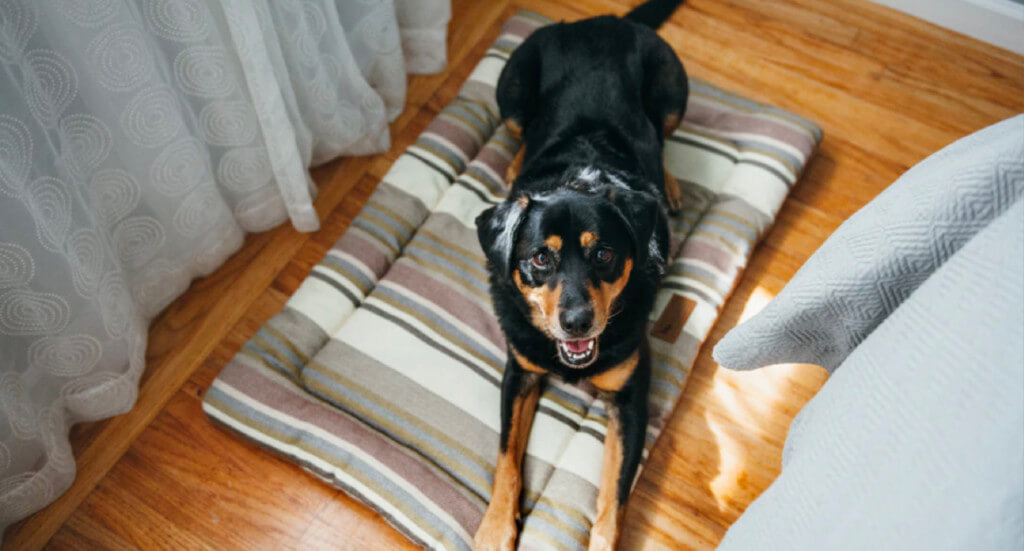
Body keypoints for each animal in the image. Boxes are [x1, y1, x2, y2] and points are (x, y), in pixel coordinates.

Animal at [473, 2, 688, 544]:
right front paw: (495, 528)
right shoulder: (519, 372)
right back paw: (514, 169)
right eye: (539, 259)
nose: (577, 322)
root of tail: (603, 19)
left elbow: (613, 497)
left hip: (673, 87)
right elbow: (506, 456)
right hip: (511, 92)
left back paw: (671, 189)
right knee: (519, 133)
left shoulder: (630, 399)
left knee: (664, 137)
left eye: (604, 254)